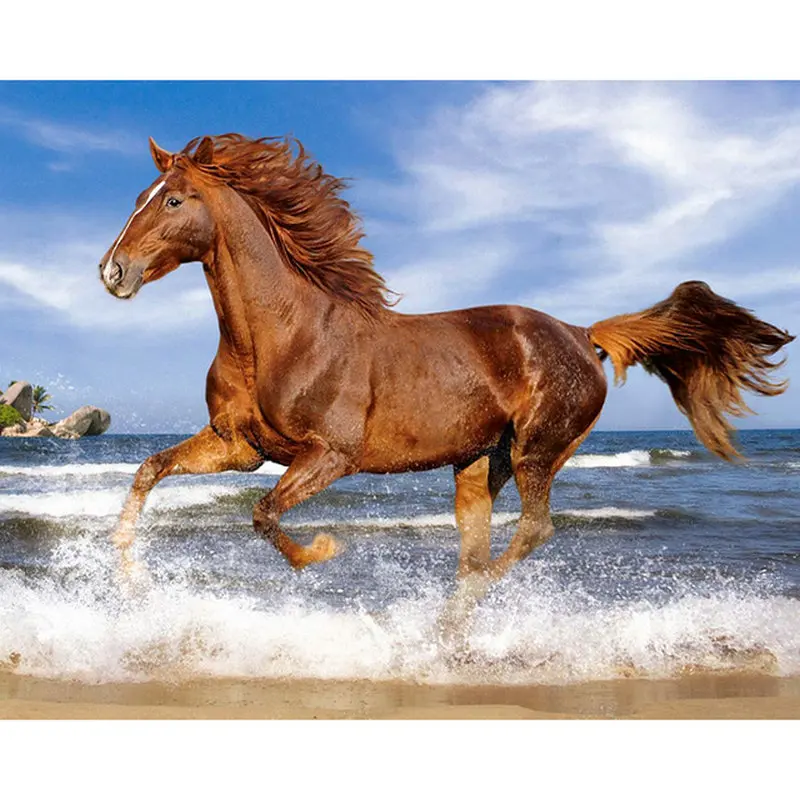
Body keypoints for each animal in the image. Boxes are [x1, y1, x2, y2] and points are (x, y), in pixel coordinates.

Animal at [99, 133, 794, 633]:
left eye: (172, 200)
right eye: (138, 195)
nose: (113, 271)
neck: (282, 334)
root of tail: (581, 331)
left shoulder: (331, 456)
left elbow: (264, 514)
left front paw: (322, 551)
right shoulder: (238, 447)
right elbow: (149, 472)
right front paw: (129, 580)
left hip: (537, 449)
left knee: (531, 532)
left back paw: (452, 612)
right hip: (480, 463)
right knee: (479, 547)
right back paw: (446, 626)